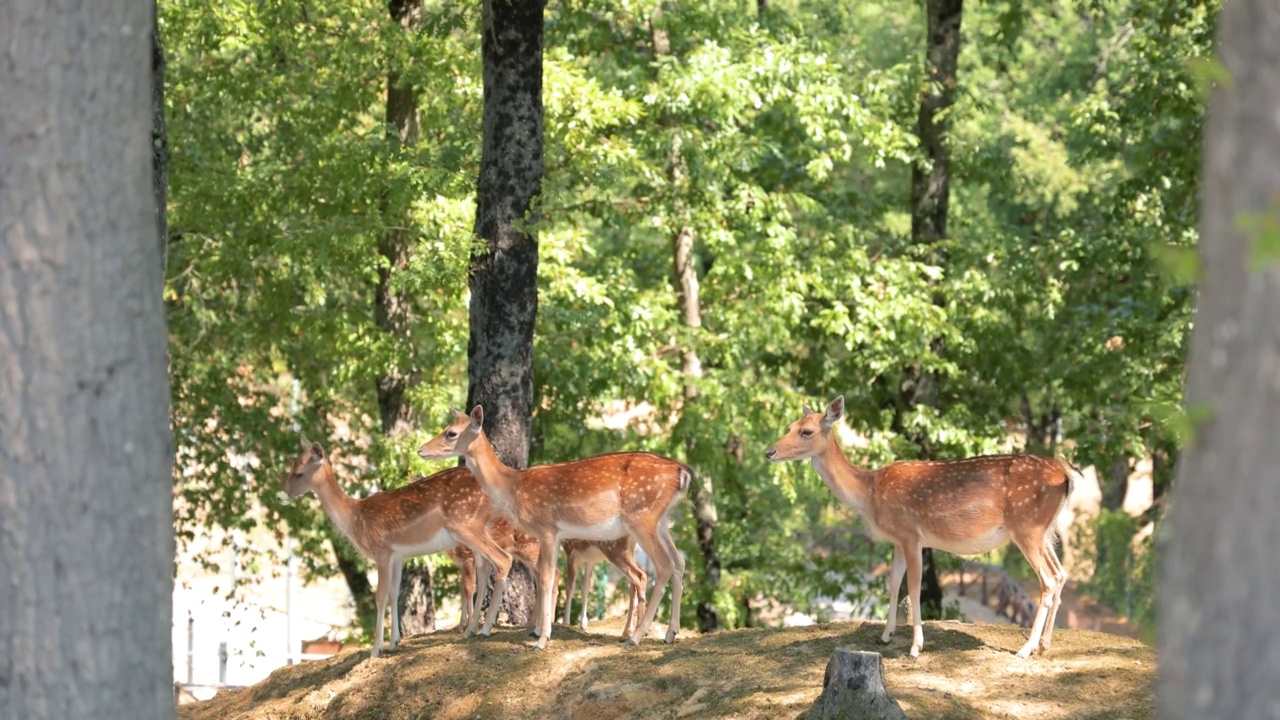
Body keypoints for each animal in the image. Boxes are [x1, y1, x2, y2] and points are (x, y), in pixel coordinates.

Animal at [282, 427, 517, 653]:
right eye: (292, 465)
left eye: (299, 472)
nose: (285, 492)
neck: (355, 518)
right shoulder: (398, 555)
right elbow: (394, 594)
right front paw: (394, 642)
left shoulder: (382, 551)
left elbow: (380, 596)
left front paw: (376, 648)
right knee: (485, 568)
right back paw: (472, 629)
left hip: (466, 524)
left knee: (503, 559)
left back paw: (485, 628)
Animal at [419, 407, 691, 648]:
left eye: (451, 433)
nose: (421, 449)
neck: (514, 487)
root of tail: (684, 472)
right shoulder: (552, 535)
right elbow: (546, 577)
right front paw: (539, 632)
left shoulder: (547, 528)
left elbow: (548, 577)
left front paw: (541, 639)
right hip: (661, 522)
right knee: (679, 562)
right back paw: (670, 633)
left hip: (643, 518)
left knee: (663, 567)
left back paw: (636, 637)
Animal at [762, 397, 1075, 655]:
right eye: (790, 426)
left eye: (806, 431)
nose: (769, 451)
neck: (870, 494)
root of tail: (1066, 474)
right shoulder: (897, 539)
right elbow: (892, 584)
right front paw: (886, 636)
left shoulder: (911, 534)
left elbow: (913, 588)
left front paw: (916, 647)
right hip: (1044, 531)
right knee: (1060, 574)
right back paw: (1045, 645)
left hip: (1027, 526)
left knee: (1047, 581)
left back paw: (1026, 649)